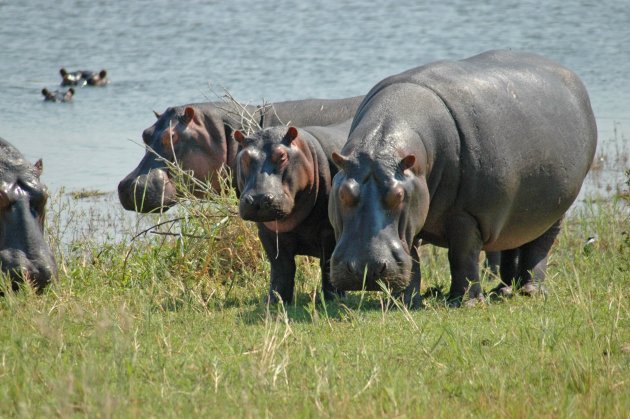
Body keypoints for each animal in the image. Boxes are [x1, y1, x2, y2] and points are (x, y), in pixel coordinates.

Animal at [235, 123, 350, 304]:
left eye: (282, 156)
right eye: (244, 157)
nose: (258, 199)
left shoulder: (330, 230)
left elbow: (328, 262)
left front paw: (335, 298)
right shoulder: (267, 234)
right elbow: (281, 267)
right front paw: (275, 301)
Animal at [328, 49, 600, 306]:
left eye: (399, 195)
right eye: (343, 193)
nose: (365, 269)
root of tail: (572, 77)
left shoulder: (465, 214)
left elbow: (462, 255)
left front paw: (466, 303)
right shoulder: (415, 214)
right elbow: (413, 259)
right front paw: (405, 303)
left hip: (554, 211)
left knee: (539, 246)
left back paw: (531, 291)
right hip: (514, 212)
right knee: (510, 244)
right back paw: (502, 291)